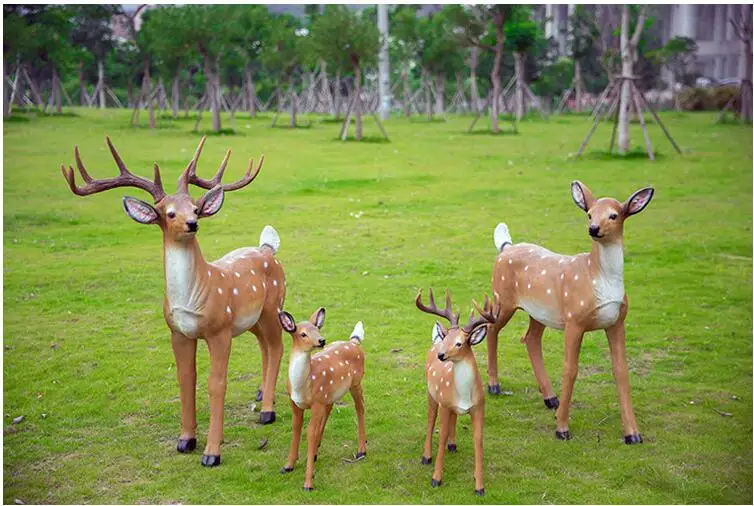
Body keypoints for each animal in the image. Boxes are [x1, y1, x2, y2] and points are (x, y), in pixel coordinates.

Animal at [60, 136, 287, 466]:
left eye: (194, 207)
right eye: (167, 213)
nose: (193, 223)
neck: (197, 295)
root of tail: (268, 248)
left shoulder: (219, 331)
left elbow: (216, 384)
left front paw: (212, 453)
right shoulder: (178, 332)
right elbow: (185, 379)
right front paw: (186, 440)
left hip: (273, 306)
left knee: (278, 347)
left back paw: (268, 411)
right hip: (253, 319)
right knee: (266, 348)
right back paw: (260, 395)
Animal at [277, 308, 366, 491]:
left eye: (317, 330)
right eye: (303, 334)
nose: (321, 340)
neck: (302, 386)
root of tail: (354, 342)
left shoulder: (317, 402)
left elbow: (310, 433)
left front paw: (308, 483)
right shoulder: (294, 402)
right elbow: (296, 429)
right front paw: (288, 466)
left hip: (356, 382)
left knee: (360, 407)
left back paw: (361, 450)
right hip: (330, 393)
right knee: (330, 410)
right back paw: (316, 452)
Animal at [415, 289, 500, 497]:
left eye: (460, 343)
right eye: (447, 339)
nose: (441, 355)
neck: (464, 395)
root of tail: (434, 341)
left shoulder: (479, 406)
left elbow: (478, 441)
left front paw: (479, 486)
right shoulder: (445, 404)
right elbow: (441, 435)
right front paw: (436, 478)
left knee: (454, 418)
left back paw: (452, 445)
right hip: (432, 394)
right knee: (430, 422)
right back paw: (426, 456)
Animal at [485, 180, 654, 444]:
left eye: (614, 215)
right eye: (589, 214)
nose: (593, 228)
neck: (598, 277)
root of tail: (505, 247)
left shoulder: (617, 322)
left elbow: (621, 371)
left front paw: (633, 434)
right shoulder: (574, 320)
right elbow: (570, 369)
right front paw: (562, 429)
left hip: (539, 312)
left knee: (530, 339)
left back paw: (550, 398)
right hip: (502, 297)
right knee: (492, 328)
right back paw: (494, 386)